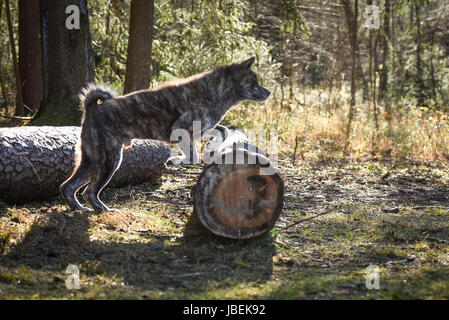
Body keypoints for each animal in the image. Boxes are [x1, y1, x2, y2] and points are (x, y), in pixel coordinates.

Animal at [59, 57, 270, 212]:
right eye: (253, 82)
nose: (268, 93)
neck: (215, 93)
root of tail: (91, 109)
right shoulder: (180, 129)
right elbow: (193, 156)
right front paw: (175, 160)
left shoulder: (199, 130)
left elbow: (223, 131)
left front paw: (212, 146)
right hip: (109, 161)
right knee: (89, 191)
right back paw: (104, 210)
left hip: (91, 161)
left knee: (68, 187)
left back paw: (79, 209)